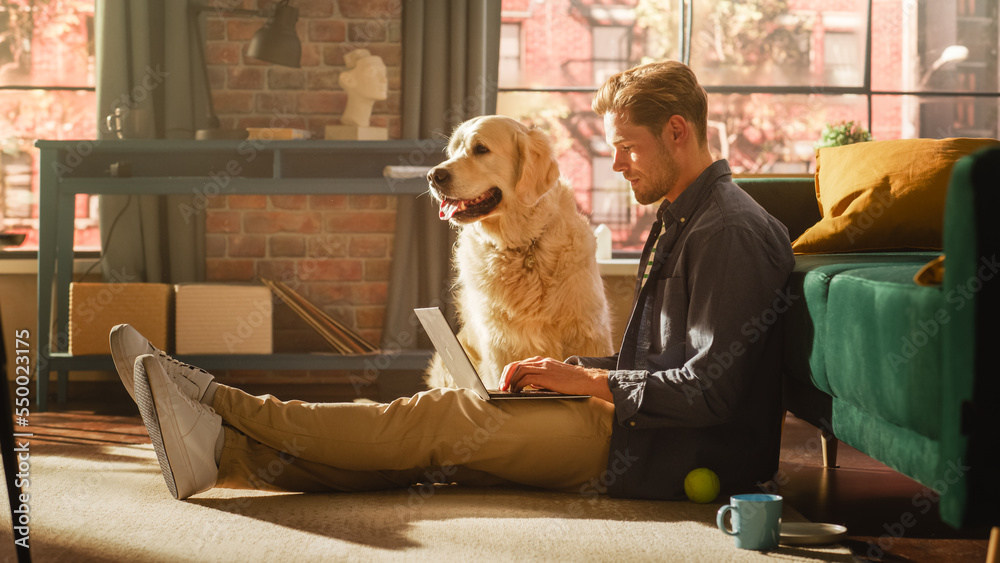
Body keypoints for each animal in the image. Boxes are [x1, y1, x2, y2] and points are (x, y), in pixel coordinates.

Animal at [420, 117, 608, 390]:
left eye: (481, 149)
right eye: (452, 152)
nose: (433, 176)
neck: (522, 246)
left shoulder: (589, 334)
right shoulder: (498, 345)